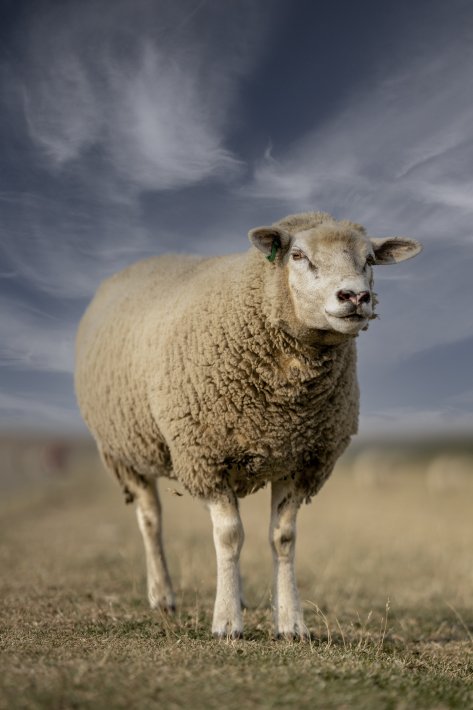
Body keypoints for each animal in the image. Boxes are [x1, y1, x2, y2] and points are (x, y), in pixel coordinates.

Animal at [75, 211, 422, 640]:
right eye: (298, 255)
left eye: (370, 260)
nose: (356, 297)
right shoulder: (206, 457)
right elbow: (229, 536)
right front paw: (226, 623)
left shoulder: (299, 461)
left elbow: (283, 538)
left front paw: (291, 623)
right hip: (124, 449)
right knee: (151, 519)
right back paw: (163, 595)